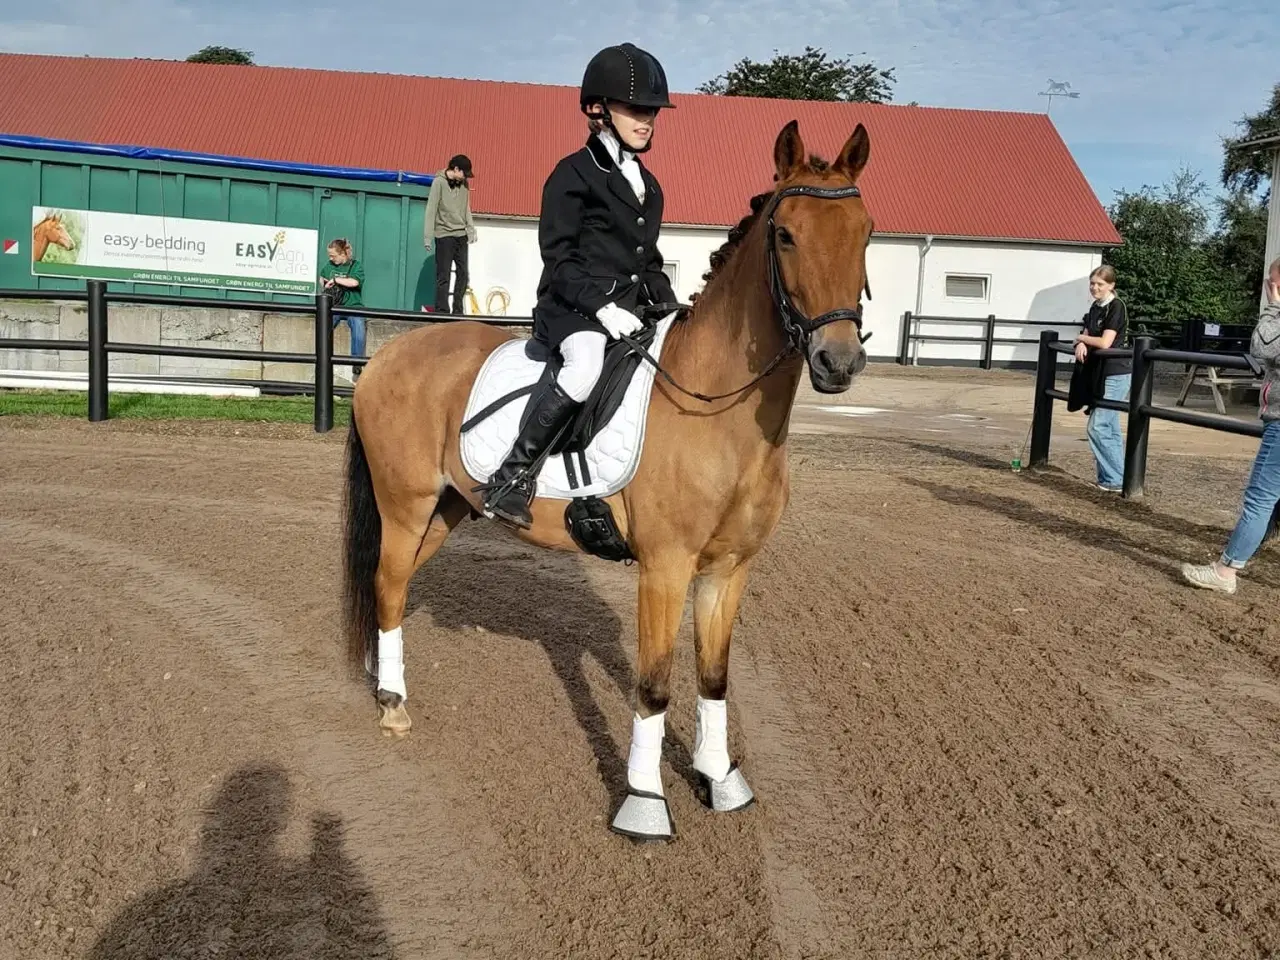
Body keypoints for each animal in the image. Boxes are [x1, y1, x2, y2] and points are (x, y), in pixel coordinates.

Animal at [340, 119, 875, 840]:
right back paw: (393, 705)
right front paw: (644, 803)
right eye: (786, 234)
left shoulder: (729, 569)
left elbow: (714, 678)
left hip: (446, 510)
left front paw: (720, 781)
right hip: (406, 504)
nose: (836, 361)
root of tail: (391, 351)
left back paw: (381, 678)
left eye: (866, 231)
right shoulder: (666, 568)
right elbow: (654, 685)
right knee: (388, 584)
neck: (718, 408)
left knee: (388, 588)